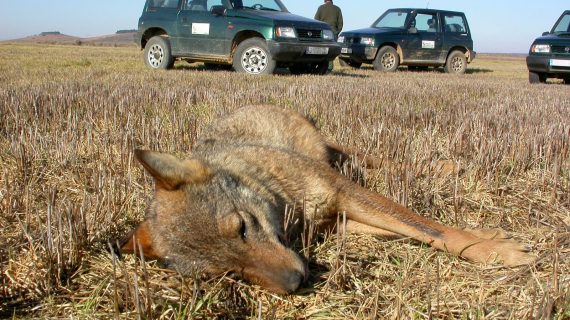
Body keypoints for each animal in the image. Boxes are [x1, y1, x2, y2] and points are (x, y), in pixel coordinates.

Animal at [120, 105, 532, 296]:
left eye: (241, 227)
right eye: (227, 273)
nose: (296, 282)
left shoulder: (342, 191)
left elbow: (430, 227)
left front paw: (497, 251)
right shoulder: (340, 222)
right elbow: (417, 233)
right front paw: (491, 243)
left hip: (332, 153)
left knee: (372, 157)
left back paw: (443, 166)